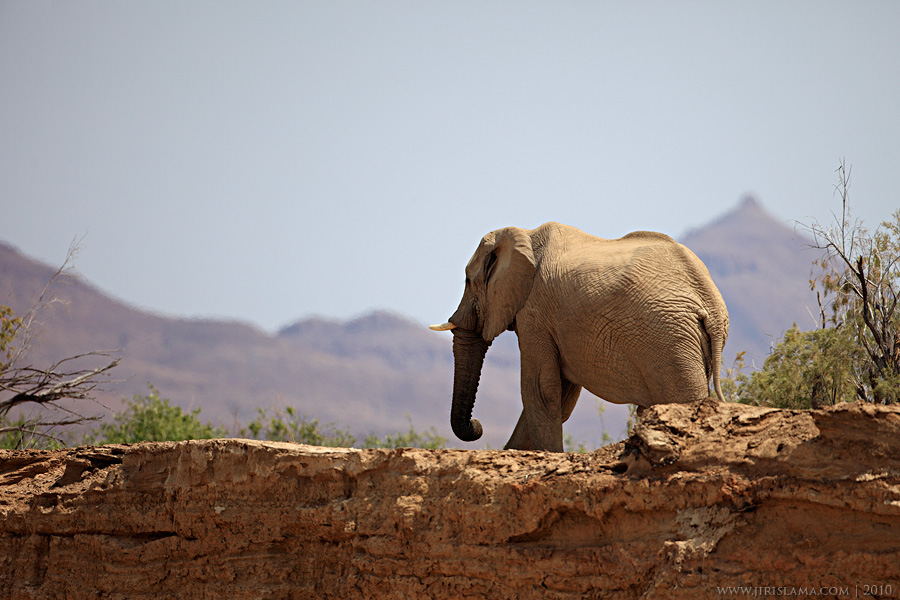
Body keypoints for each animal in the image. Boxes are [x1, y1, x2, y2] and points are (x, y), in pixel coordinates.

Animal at [430, 223, 732, 452]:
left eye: (468, 281)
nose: (477, 425)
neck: (525, 235)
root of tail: (711, 301)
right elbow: (560, 396)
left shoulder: (535, 313)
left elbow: (541, 390)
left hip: (670, 339)